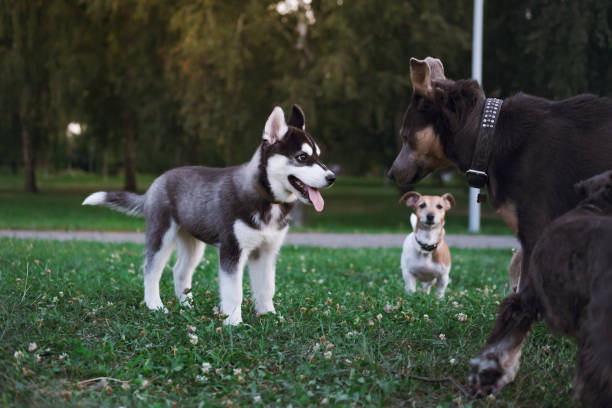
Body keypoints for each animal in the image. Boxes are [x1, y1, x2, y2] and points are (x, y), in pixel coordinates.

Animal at [82, 105, 334, 326]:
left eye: (319, 156)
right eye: (302, 157)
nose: (332, 177)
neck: (268, 200)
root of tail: (157, 181)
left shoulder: (266, 251)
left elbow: (266, 288)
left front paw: (268, 315)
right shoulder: (232, 250)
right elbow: (234, 292)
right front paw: (233, 322)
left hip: (193, 242)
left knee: (180, 271)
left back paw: (187, 305)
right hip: (161, 234)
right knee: (151, 269)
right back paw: (155, 305)